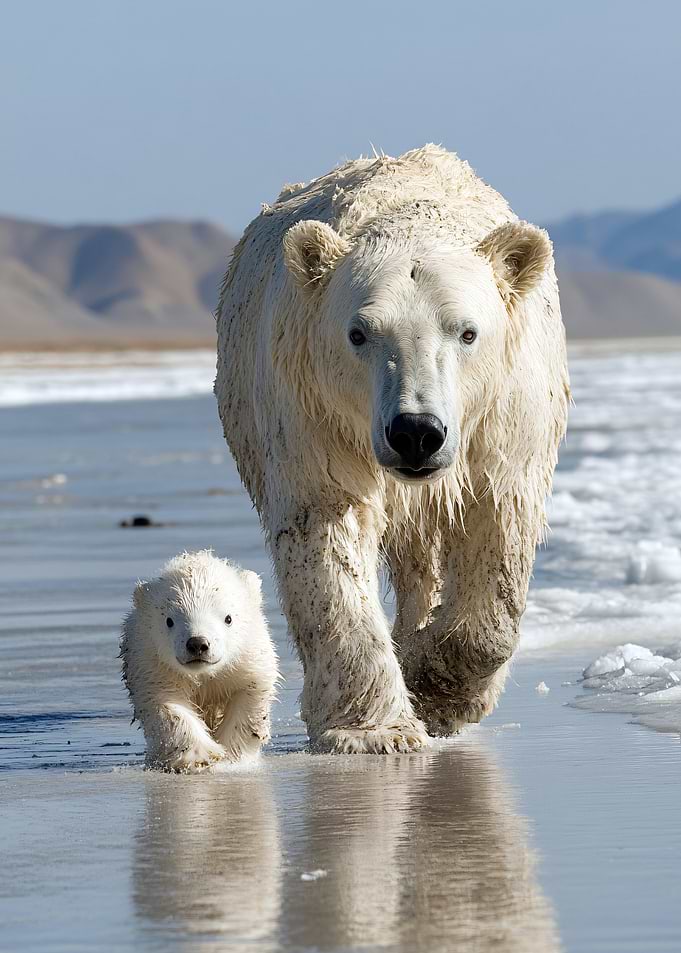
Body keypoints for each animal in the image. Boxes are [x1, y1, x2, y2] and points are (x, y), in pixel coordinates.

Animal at [120, 550, 279, 771]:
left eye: (228, 618)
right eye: (169, 620)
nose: (197, 644)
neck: (204, 674)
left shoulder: (247, 659)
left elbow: (250, 699)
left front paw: (233, 757)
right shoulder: (152, 663)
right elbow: (168, 705)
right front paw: (199, 756)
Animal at [215, 145, 569, 754]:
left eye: (467, 332)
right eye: (359, 333)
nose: (416, 432)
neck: (413, 217)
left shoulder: (505, 417)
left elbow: (497, 527)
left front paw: (437, 690)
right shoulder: (316, 410)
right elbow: (327, 527)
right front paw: (373, 729)